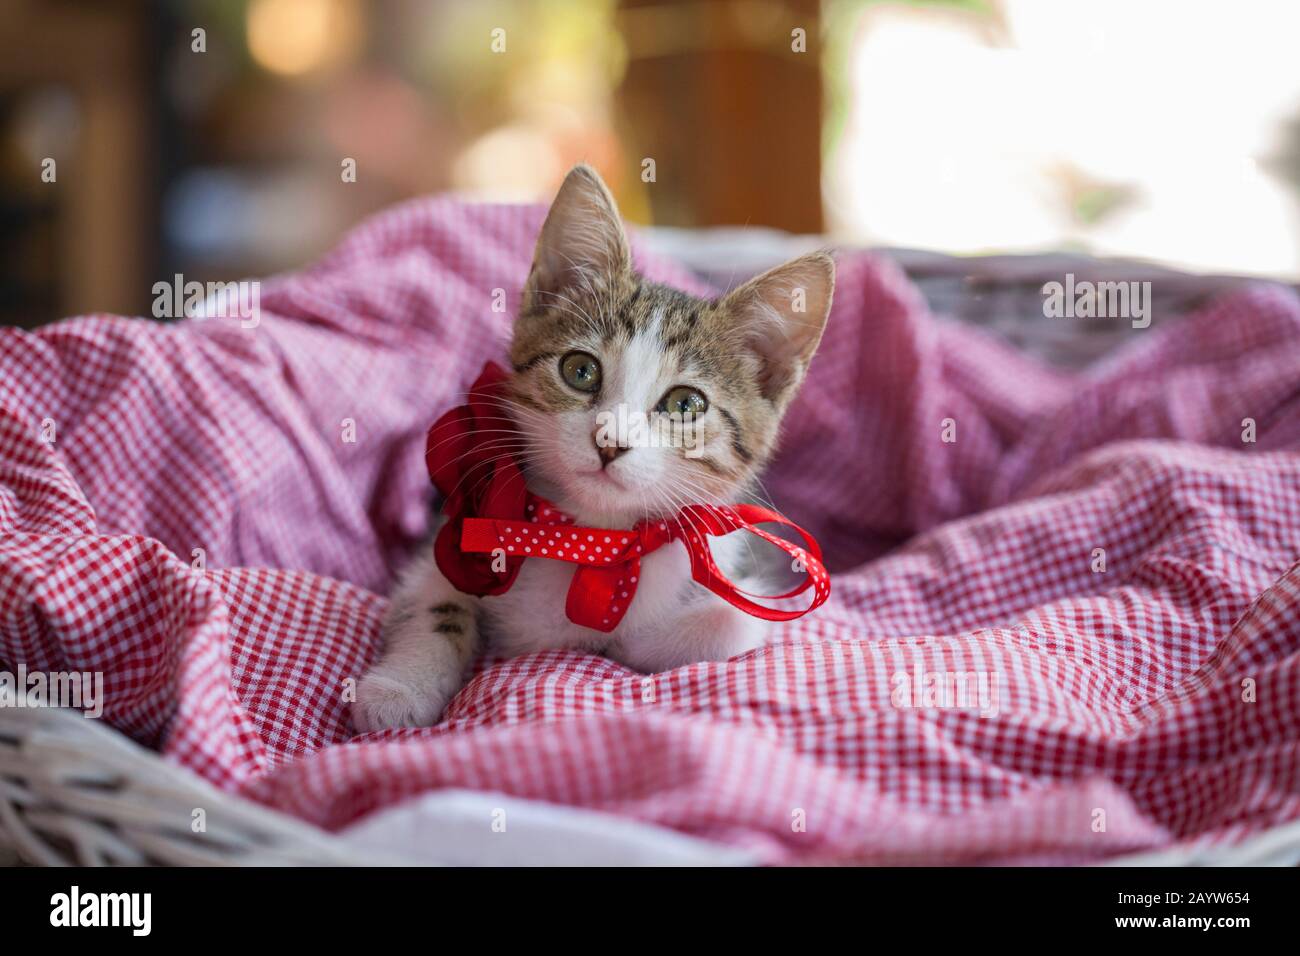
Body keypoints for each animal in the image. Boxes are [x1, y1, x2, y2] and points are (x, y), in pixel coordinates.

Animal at [353, 166, 832, 733]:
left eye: (686, 404)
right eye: (580, 371)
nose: (610, 440)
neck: (590, 539)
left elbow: (726, 622)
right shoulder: (450, 536)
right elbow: (434, 601)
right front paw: (399, 688)